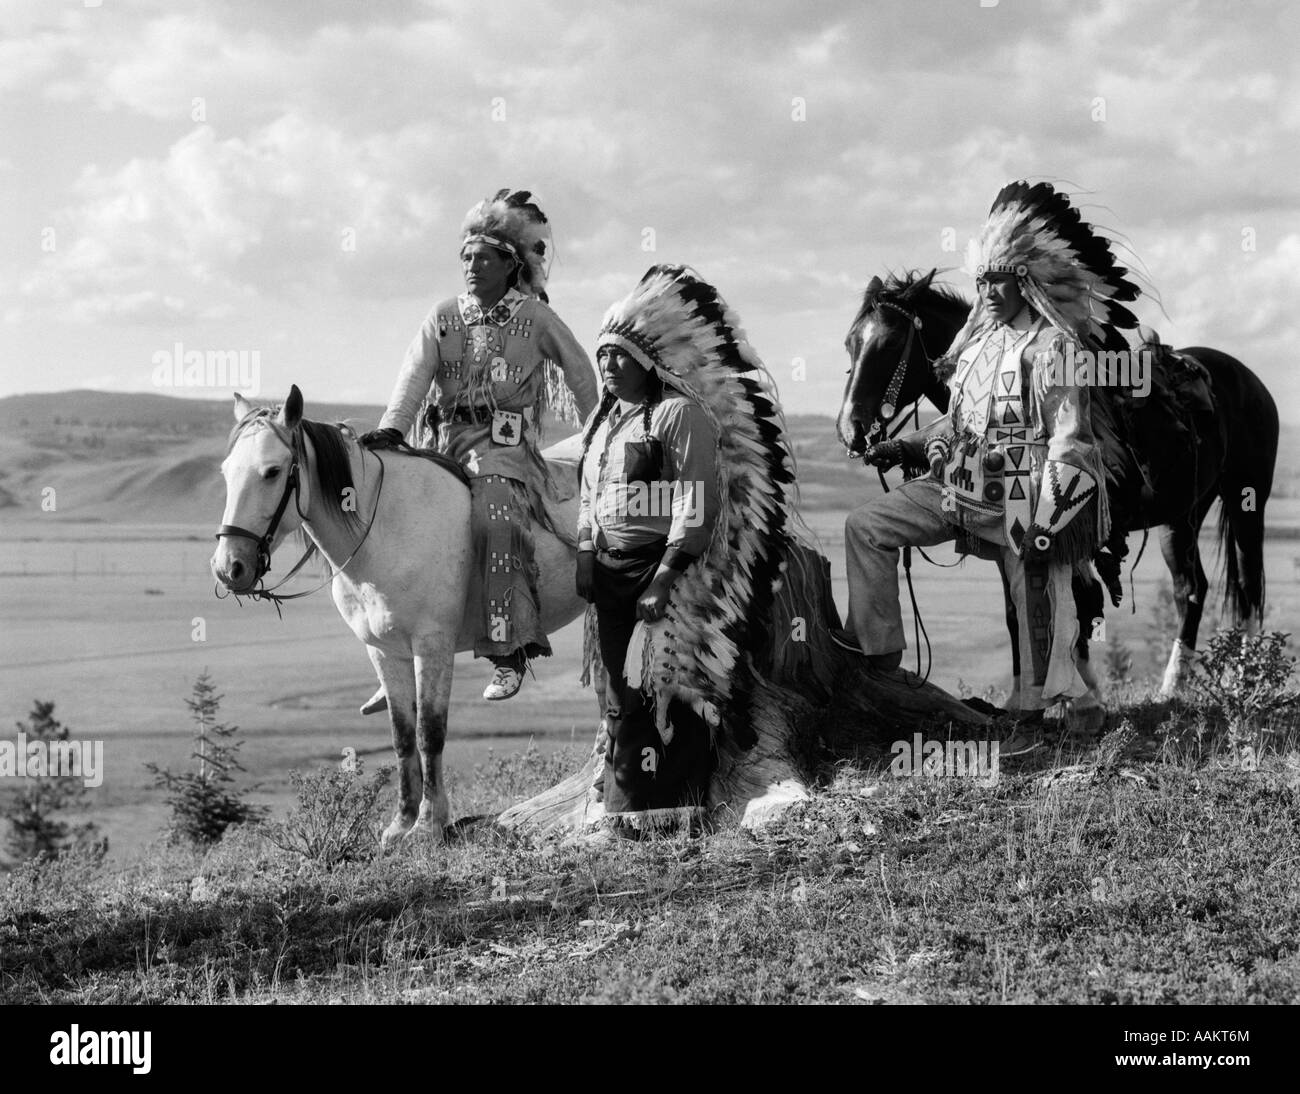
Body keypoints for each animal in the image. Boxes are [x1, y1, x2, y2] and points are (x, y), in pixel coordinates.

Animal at [214, 384, 595, 841]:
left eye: (272, 471)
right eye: (226, 472)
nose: (229, 567)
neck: (383, 530)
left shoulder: (431, 646)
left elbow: (430, 730)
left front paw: (429, 825)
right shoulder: (384, 651)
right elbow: (401, 736)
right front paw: (400, 824)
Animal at [837, 267, 1274, 691]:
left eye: (893, 341)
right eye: (850, 343)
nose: (850, 429)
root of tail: (1248, 380)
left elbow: (1069, 606)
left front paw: (1075, 693)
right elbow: (1019, 613)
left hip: (1246, 502)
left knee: (1248, 585)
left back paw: (1246, 678)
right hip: (1181, 517)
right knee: (1191, 589)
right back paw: (1173, 685)